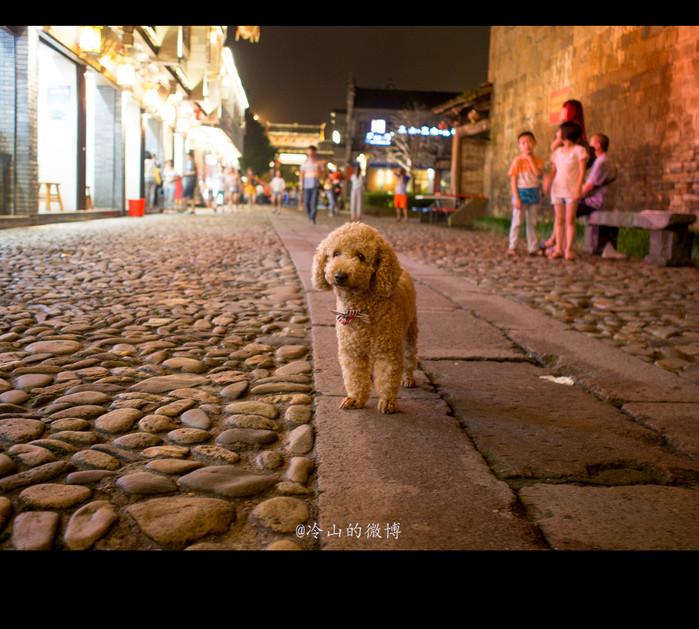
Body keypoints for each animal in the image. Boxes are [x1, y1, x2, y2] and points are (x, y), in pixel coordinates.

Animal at [314, 221, 422, 412]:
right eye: (335, 253)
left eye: (361, 256)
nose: (339, 275)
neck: (361, 308)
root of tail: (402, 269)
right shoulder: (352, 351)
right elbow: (355, 377)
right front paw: (355, 399)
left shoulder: (388, 351)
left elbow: (387, 378)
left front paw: (388, 402)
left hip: (410, 331)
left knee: (410, 357)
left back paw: (408, 378)